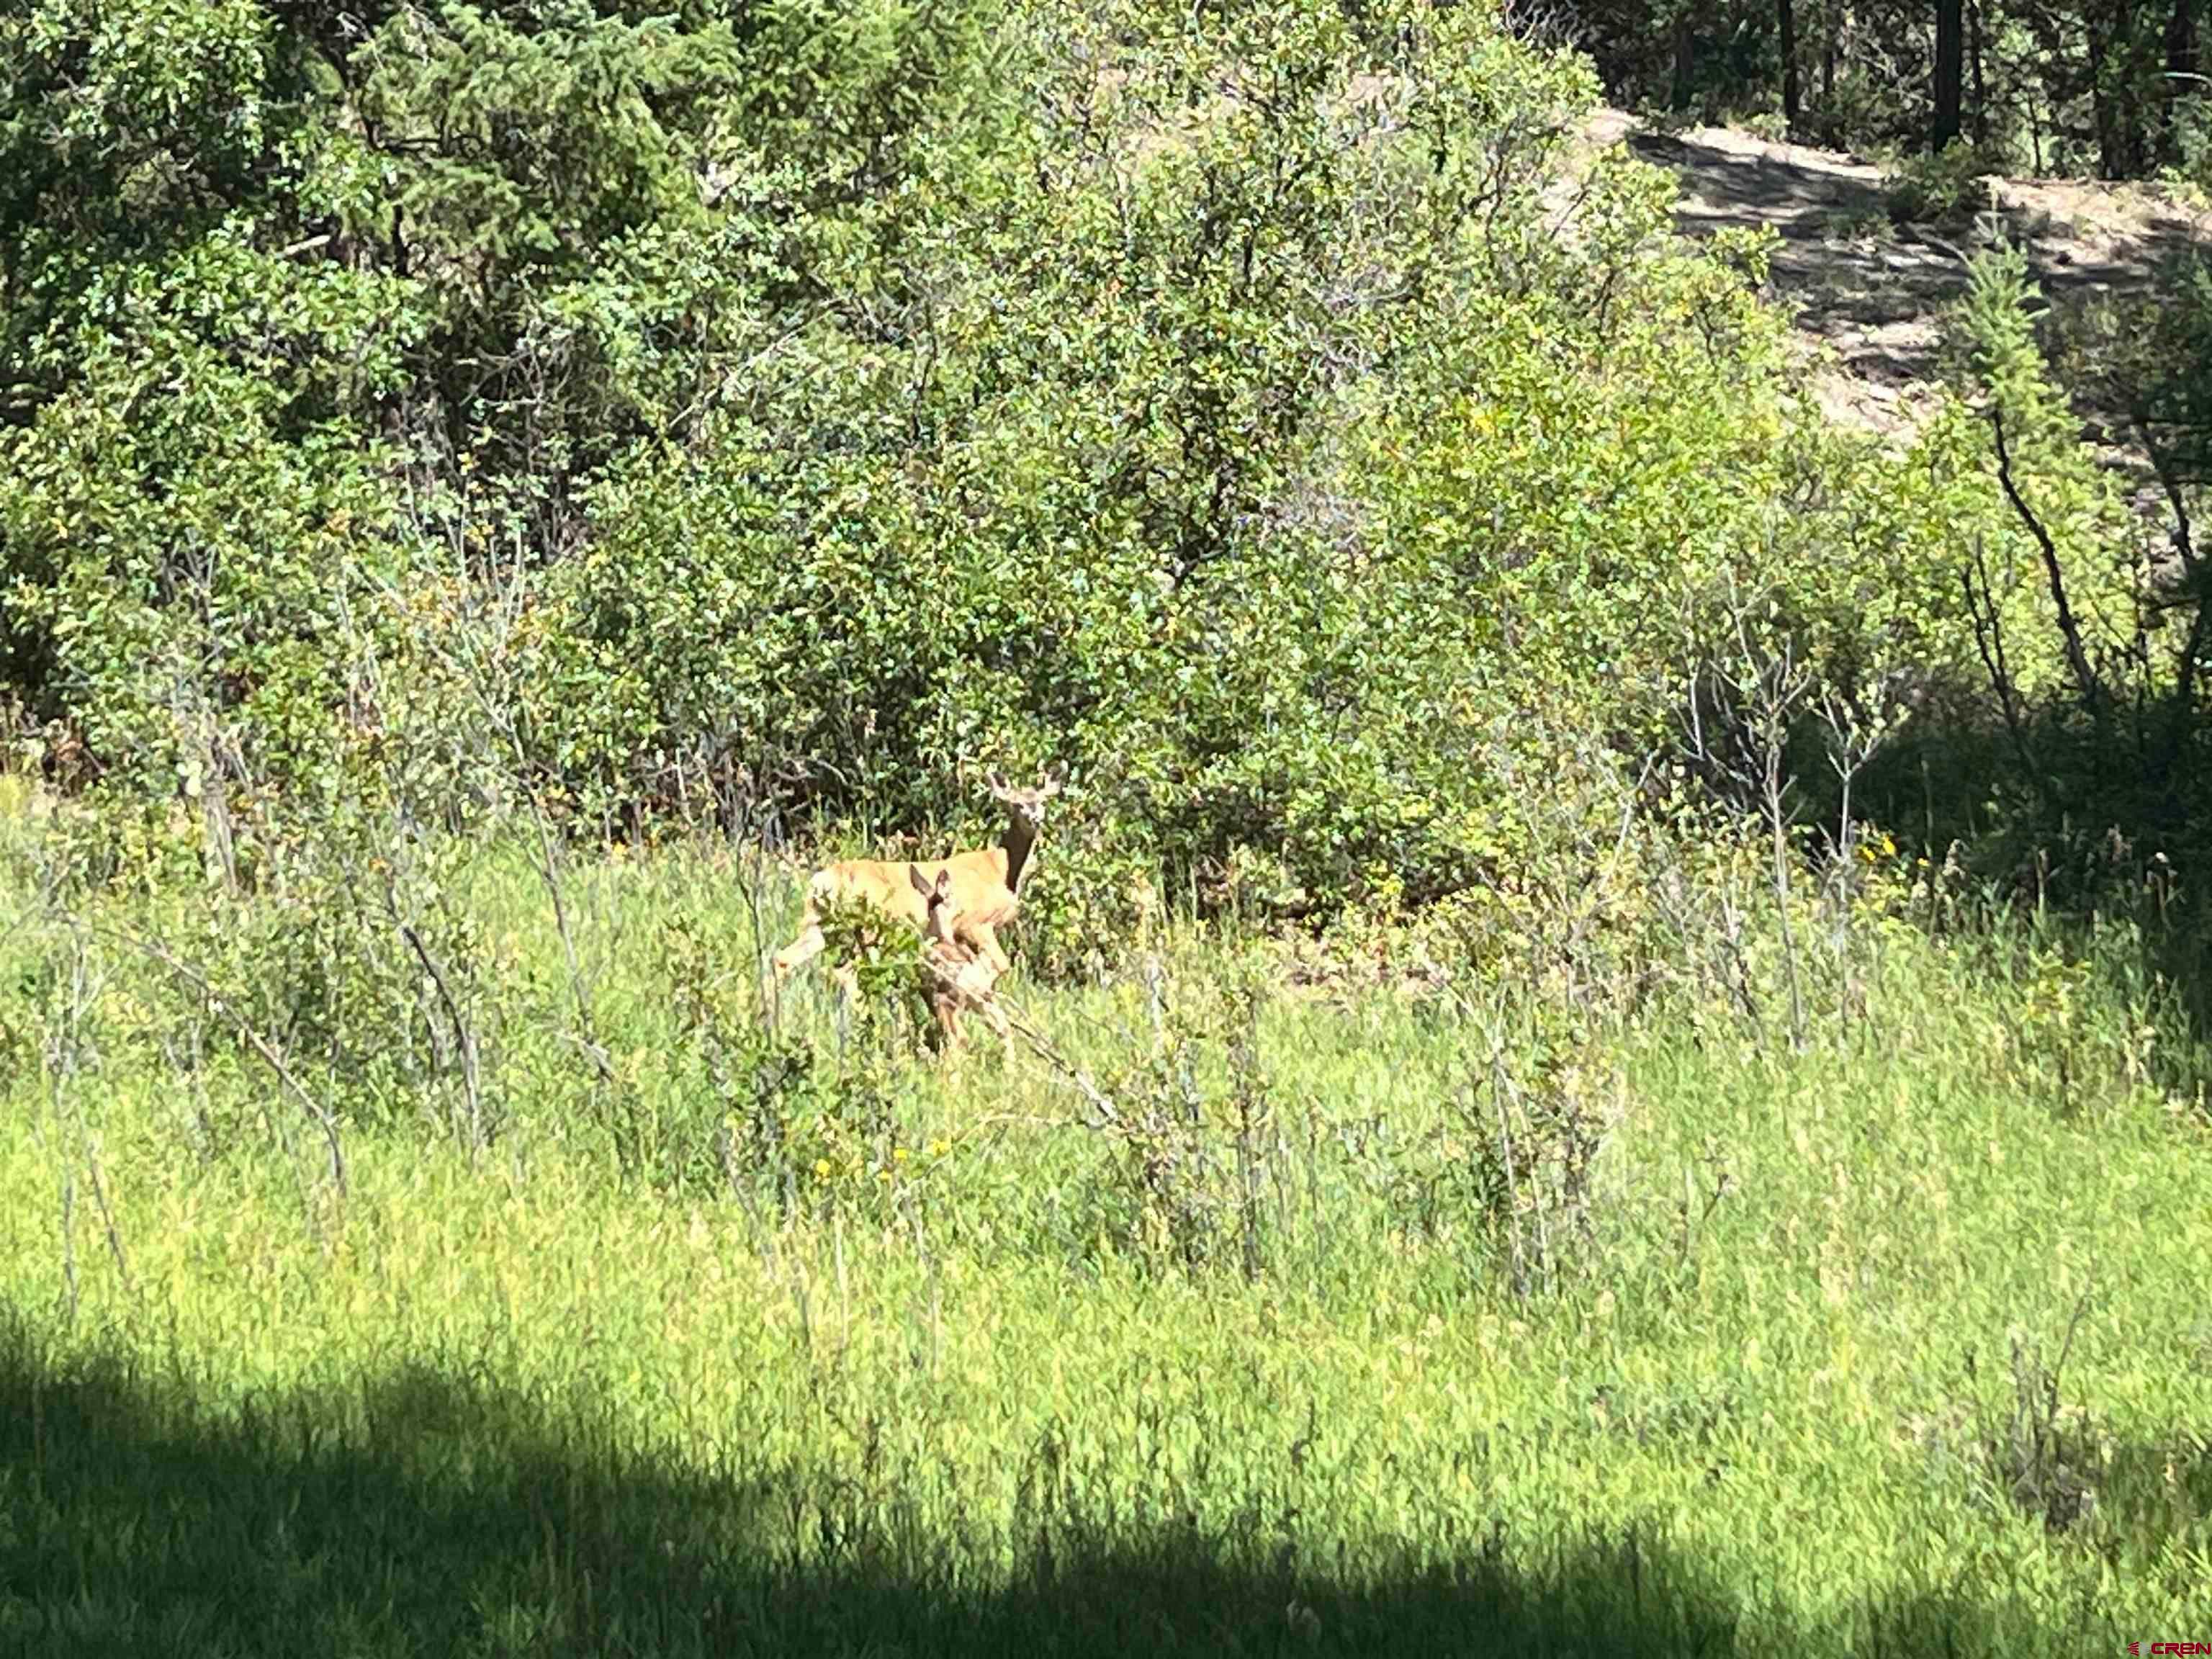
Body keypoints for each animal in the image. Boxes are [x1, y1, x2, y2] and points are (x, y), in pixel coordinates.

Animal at [770, 769, 1061, 986]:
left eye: (1043, 801)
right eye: (1017, 804)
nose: (1035, 816)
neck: (1002, 870)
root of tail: (827, 878)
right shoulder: (974, 922)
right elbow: (1001, 965)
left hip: (821, 921)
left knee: (784, 958)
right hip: (869, 924)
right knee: (847, 972)